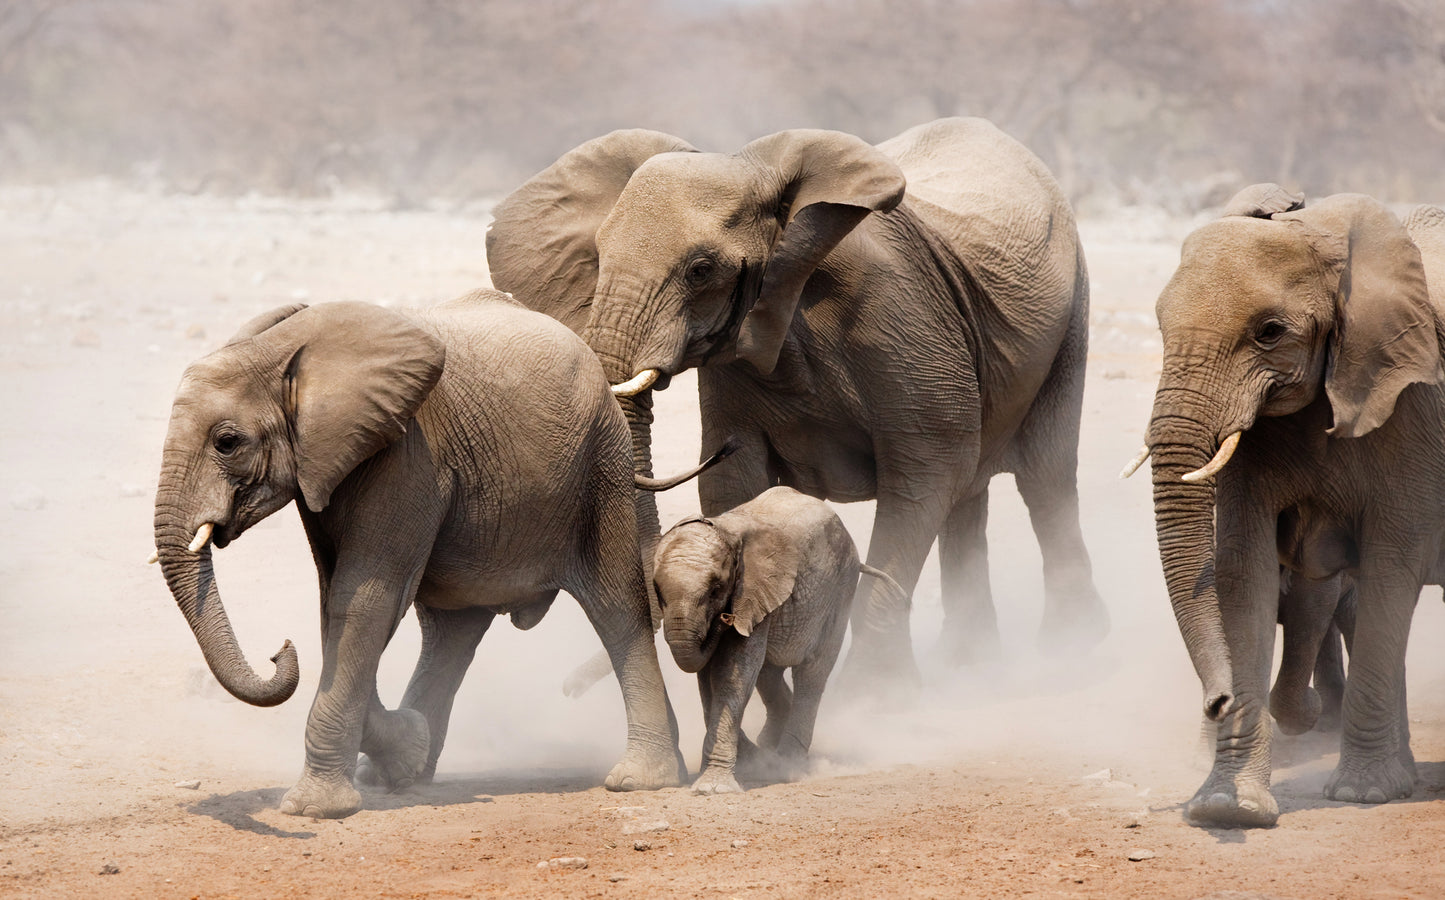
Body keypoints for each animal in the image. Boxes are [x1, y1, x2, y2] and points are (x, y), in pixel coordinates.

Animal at [151, 291, 735, 818]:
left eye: (227, 441)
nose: (278, 651)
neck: (284, 352)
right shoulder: (326, 471)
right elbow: (337, 603)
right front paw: (405, 749)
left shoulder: (406, 456)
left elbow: (363, 600)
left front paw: (314, 809)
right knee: (452, 634)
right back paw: (406, 769)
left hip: (600, 467)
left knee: (616, 611)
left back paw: (642, 779)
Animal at [487, 117, 1109, 690]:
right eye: (596, 255)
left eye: (701, 270)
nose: (567, 689)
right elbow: (736, 481)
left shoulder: (903, 319)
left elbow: (928, 472)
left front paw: (872, 698)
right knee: (972, 496)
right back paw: (971, 664)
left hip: (1072, 315)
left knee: (1044, 475)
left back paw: (1071, 653)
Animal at [652, 486, 907, 794]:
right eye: (657, 591)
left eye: (716, 589)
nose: (725, 618)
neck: (726, 530)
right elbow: (709, 678)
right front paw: (743, 765)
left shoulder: (754, 591)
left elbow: (730, 675)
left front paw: (712, 788)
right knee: (769, 673)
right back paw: (769, 751)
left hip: (840, 590)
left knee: (811, 674)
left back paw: (788, 764)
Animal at [1128, 184, 1445, 827]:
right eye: (1161, 325)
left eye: (1269, 331)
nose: (1217, 700)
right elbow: (1241, 574)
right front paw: (1228, 809)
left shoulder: (1413, 406)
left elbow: (1391, 567)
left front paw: (1362, 795)